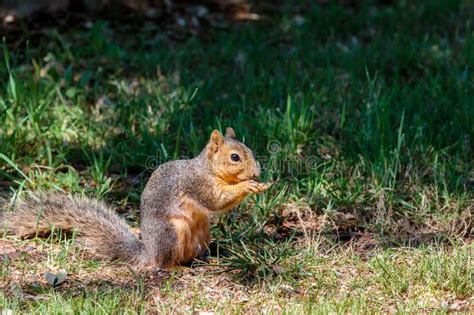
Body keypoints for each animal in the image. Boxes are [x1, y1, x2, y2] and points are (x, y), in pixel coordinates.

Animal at [0, 127, 268, 270]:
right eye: (235, 157)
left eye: (250, 151)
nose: (257, 172)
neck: (207, 169)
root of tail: (146, 252)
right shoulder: (196, 184)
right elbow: (216, 200)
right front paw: (248, 186)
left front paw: (260, 184)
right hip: (171, 232)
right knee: (163, 262)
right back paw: (175, 269)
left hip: (202, 232)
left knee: (188, 256)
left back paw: (206, 261)